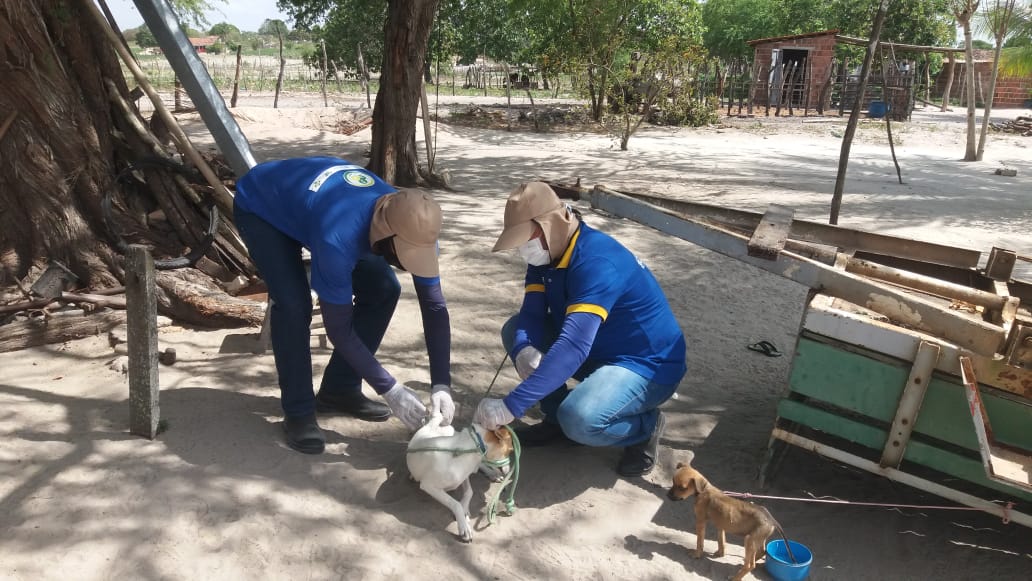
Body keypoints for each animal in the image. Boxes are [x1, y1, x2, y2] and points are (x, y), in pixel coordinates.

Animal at [404, 412, 513, 540]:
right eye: (510, 450)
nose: (508, 471)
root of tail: (431, 427)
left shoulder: (464, 476)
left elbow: (469, 492)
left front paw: (464, 510)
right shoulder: (428, 486)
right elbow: (455, 503)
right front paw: (464, 526)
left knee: (481, 466)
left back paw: (494, 474)